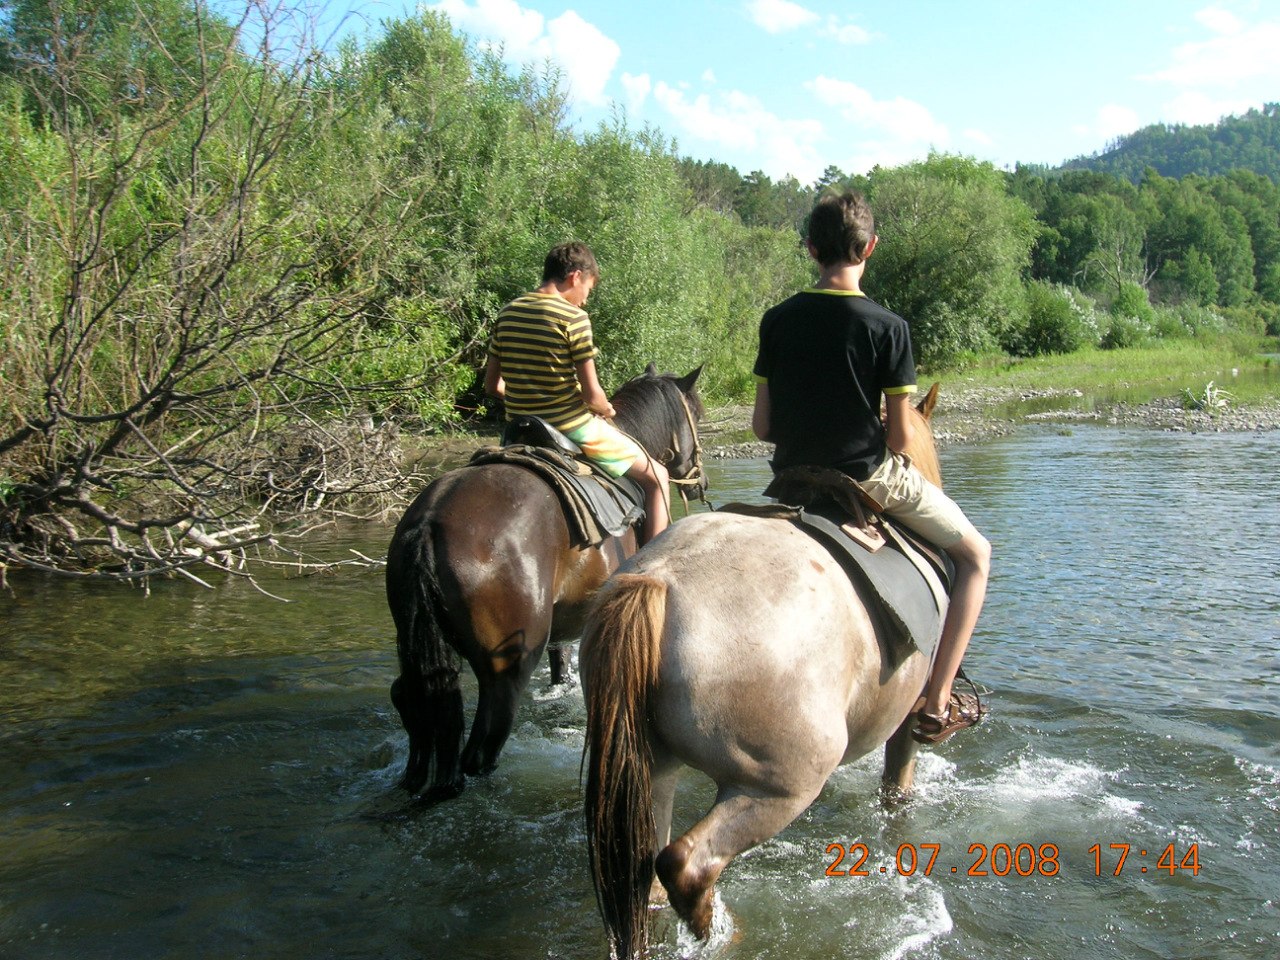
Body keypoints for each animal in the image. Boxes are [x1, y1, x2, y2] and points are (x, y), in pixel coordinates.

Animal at [389, 366, 711, 803]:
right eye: (698, 414)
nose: (700, 483)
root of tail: (429, 522)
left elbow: (561, 665)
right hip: (507, 667)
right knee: (483, 746)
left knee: (411, 702)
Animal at [586, 386, 947, 957]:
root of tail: (659, 582)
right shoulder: (909, 715)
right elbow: (898, 786)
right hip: (777, 787)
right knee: (687, 865)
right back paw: (722, 932)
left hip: (652, 774)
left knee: (648, 877)